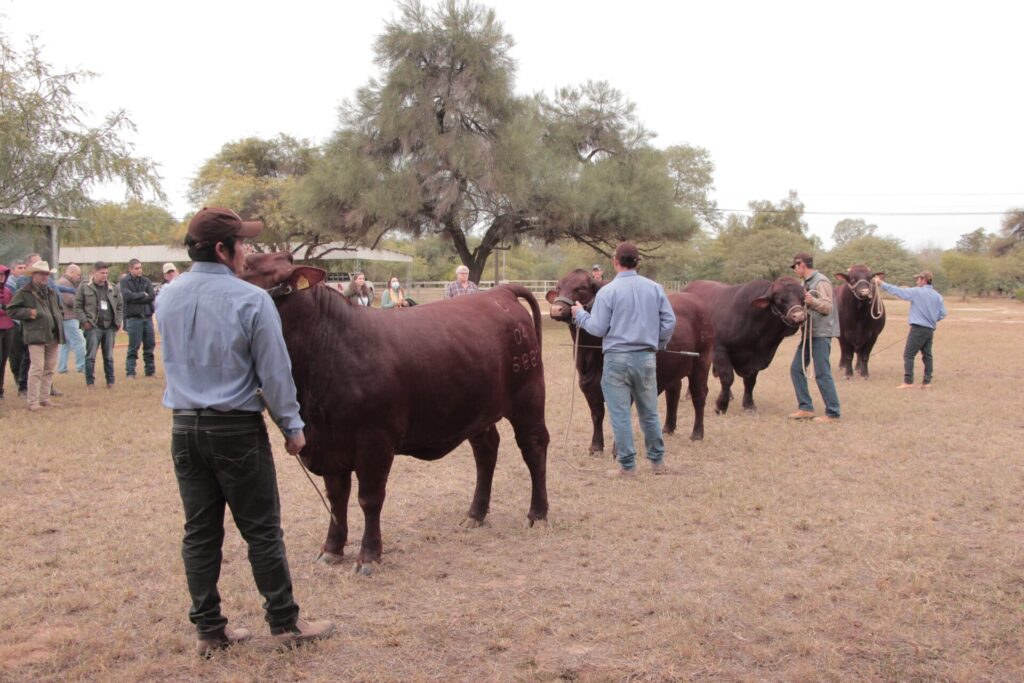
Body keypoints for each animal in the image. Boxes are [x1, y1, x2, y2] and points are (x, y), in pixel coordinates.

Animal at [241, 252, 549, 571]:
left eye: (247, 268)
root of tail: (500, 293)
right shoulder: (330, 444)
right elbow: (337, 497)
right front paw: (332, 549)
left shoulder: (375, 442)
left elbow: (369, 498)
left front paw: (369, 555)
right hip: (478, 410)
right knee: (486, 451)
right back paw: (475, 514)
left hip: (528, 397)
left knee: (534, 447)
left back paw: (537, 514)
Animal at [683, 277, 807, 415]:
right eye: (779, 299)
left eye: (803, 298)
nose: (799, 316)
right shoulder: (720, 350)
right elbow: (727, 377)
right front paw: (721, 405)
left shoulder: (756, 359)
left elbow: (750, 381)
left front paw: (749, 405)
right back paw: (689, 394)